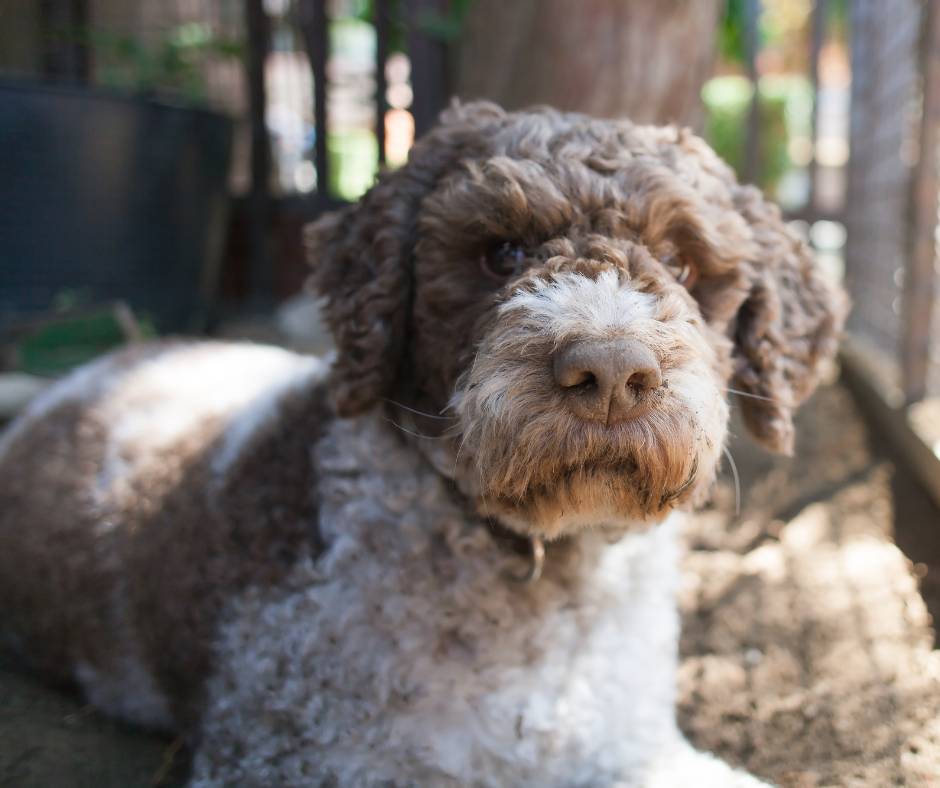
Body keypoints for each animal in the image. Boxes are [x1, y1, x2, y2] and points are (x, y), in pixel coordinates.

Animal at [0, 101, 848, 784]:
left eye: (680, 262)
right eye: (502, 252)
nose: (610, 372)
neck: (541, 574)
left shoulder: (633, 746)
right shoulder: (294, 755)